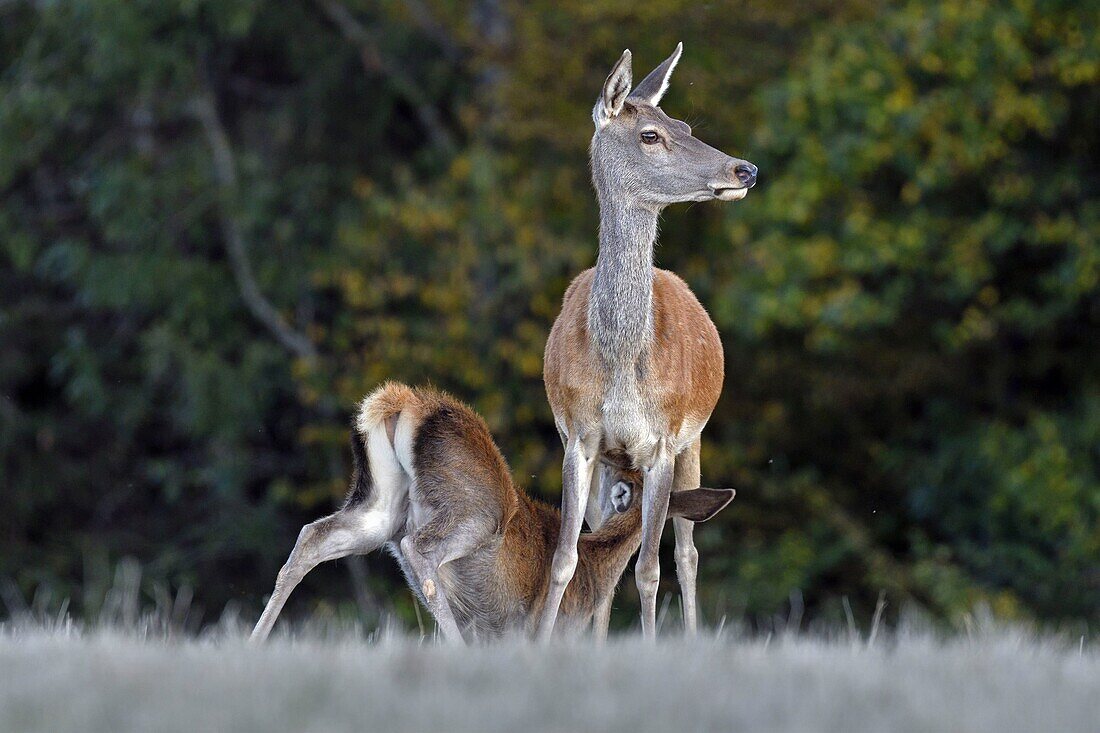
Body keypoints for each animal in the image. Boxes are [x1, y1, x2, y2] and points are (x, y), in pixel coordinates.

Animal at [248, 383, 730, 638]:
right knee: (420, 551)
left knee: (312, 535)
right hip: (476, 514)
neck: (596, 569)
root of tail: (405, 403)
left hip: (379, 508)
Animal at [539, 44, 756, 638]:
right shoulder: (579, 437)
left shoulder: (662, 440)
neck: (619, 360)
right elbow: (567, 557)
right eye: (651, 135)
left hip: (694, 440)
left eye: (686, 125)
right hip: (614, 466)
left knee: (687, 552)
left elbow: (650, 568)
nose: (744, 168)